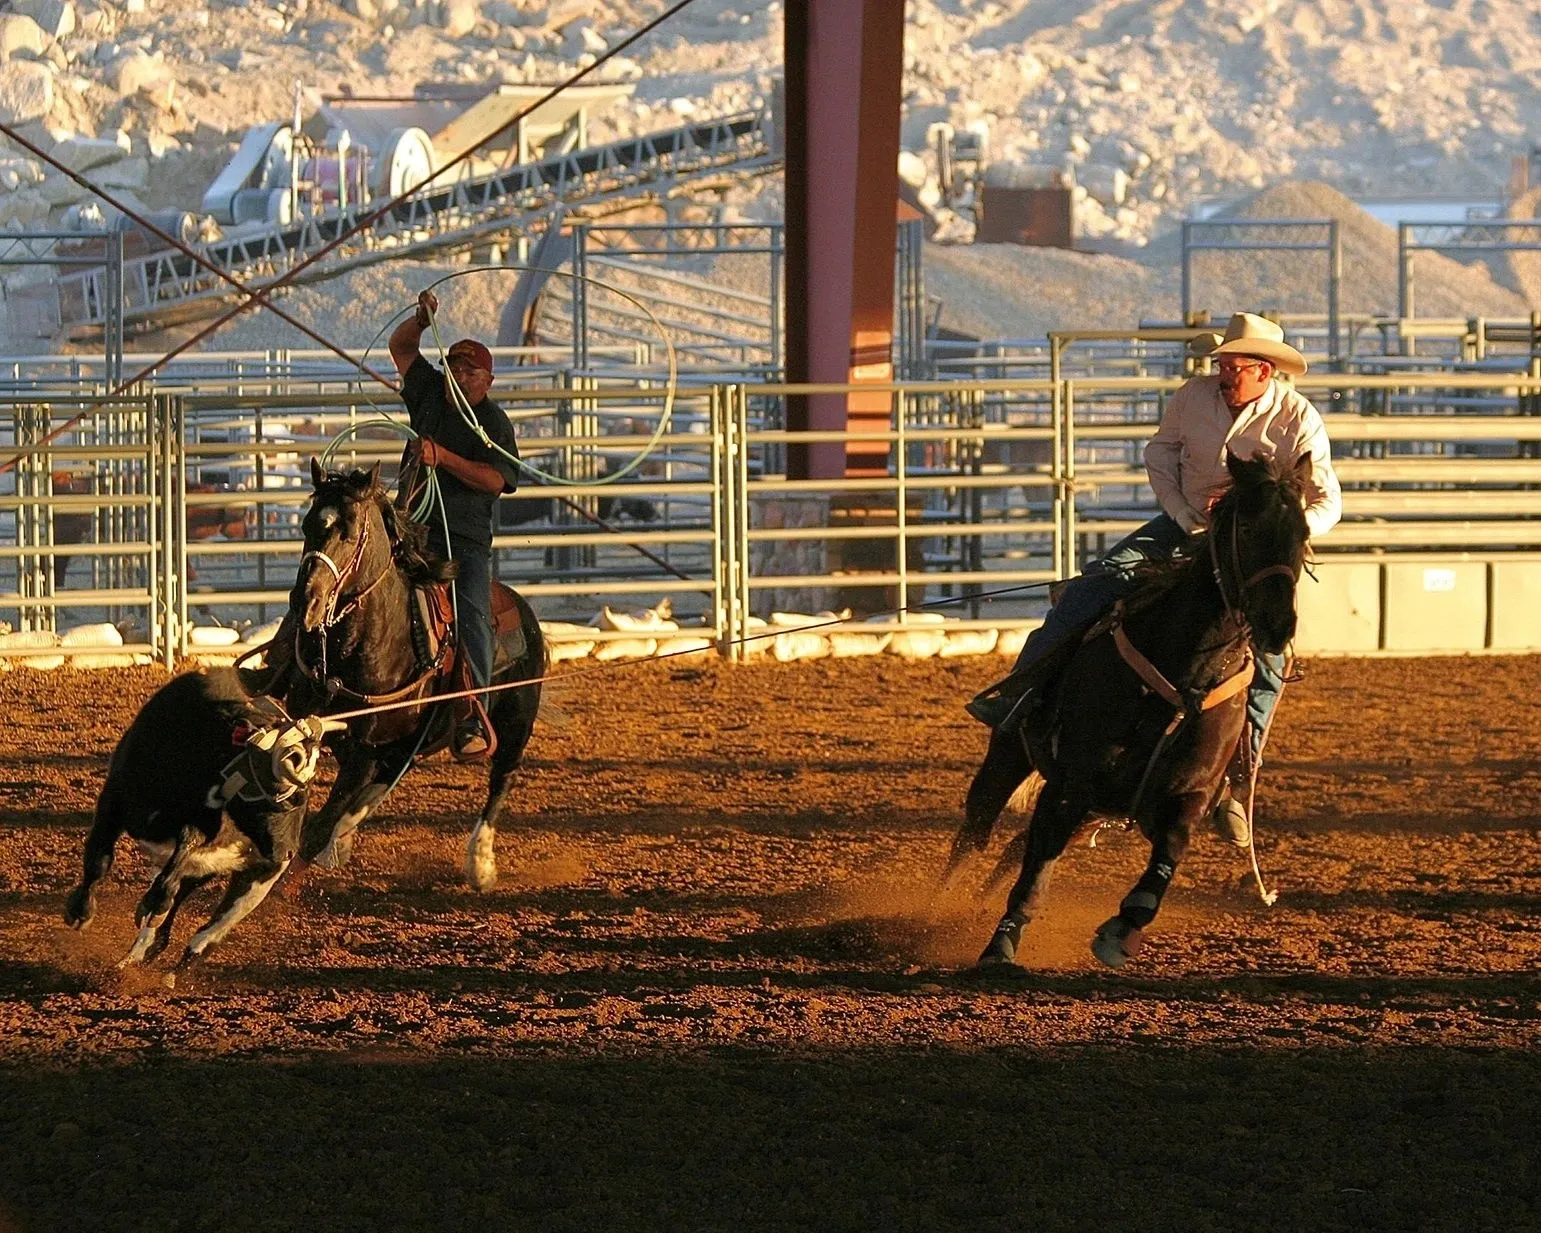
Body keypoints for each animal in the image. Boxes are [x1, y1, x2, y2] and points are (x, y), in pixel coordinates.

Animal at [63, 668, 325, 967]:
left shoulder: (204, 828)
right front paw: (80, 911)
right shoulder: (113, 799)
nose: (289, 852)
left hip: (254, 882)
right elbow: (99, 860)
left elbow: (184, 847)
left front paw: (154, 905)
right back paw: (139, 953)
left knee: (206, 933)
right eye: (288, 797)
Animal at [269, 456, 548, 893]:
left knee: (501, 780)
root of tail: (523, 609)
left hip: (515, 725)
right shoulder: (305, 728)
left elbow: (315, 828)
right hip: (407, 747)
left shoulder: (364, 754)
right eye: (307, 525)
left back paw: (480, 864)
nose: (305, 602)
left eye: (350, 530)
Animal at [943, 453, 1306, 974]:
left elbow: (1166, 857)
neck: (1180, 677)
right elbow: (1034, 873)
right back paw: (939, 907)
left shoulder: (1186, 797)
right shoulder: (1070, 785)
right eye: (1248, 528)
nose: (1278, 626)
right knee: (977, 830)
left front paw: (1123, 929)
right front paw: (999, 947)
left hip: (1092, 811)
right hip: (1010, 754)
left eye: (1303, 533)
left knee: (1014, 848)